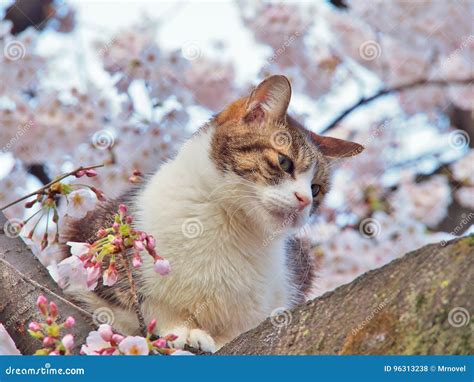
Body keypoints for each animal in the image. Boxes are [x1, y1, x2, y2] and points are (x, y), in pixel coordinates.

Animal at [62, 74, 362, 352]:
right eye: (284, 162)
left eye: (316, 188)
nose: (304, 201)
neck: (231, 222)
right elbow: (148, 307)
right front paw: (180, 331)